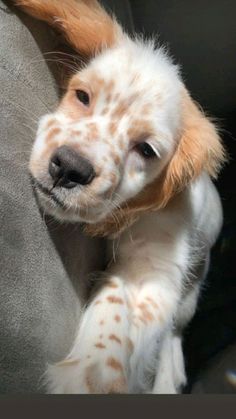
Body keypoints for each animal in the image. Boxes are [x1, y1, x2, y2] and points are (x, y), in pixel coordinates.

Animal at [14, 0, 225, 394]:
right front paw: (92, 367)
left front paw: (91, 373)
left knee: (175, 330)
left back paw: (170, 375)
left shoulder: (157, 266)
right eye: (82, 96)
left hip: (194, 283)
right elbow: (116, 293)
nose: (69, 168)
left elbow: (134, 303)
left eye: (146, 150)